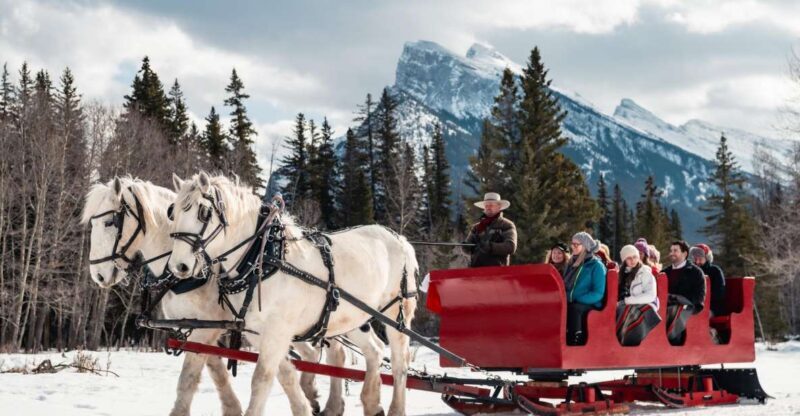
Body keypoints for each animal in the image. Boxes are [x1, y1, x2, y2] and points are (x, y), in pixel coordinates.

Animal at [81, 177, 336, 416]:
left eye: (109, 221)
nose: (98, 275)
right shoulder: (197, 327)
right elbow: (217, 370)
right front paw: (232, 407)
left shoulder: (208, 327)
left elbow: (191, 376)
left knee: (329, 353)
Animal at [167, 172, 418, 416]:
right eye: (173, 212)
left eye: (203, 212)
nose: (179, 266)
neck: (261, 257)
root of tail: (400, 239)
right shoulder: (258, 332)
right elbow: (285, 374)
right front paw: (305, 406)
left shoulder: (276, 330)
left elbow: (262, 379)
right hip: (352, 318)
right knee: (374, 351)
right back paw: (370, 404)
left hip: (397, 314)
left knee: (399, 363)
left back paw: (396, 409)